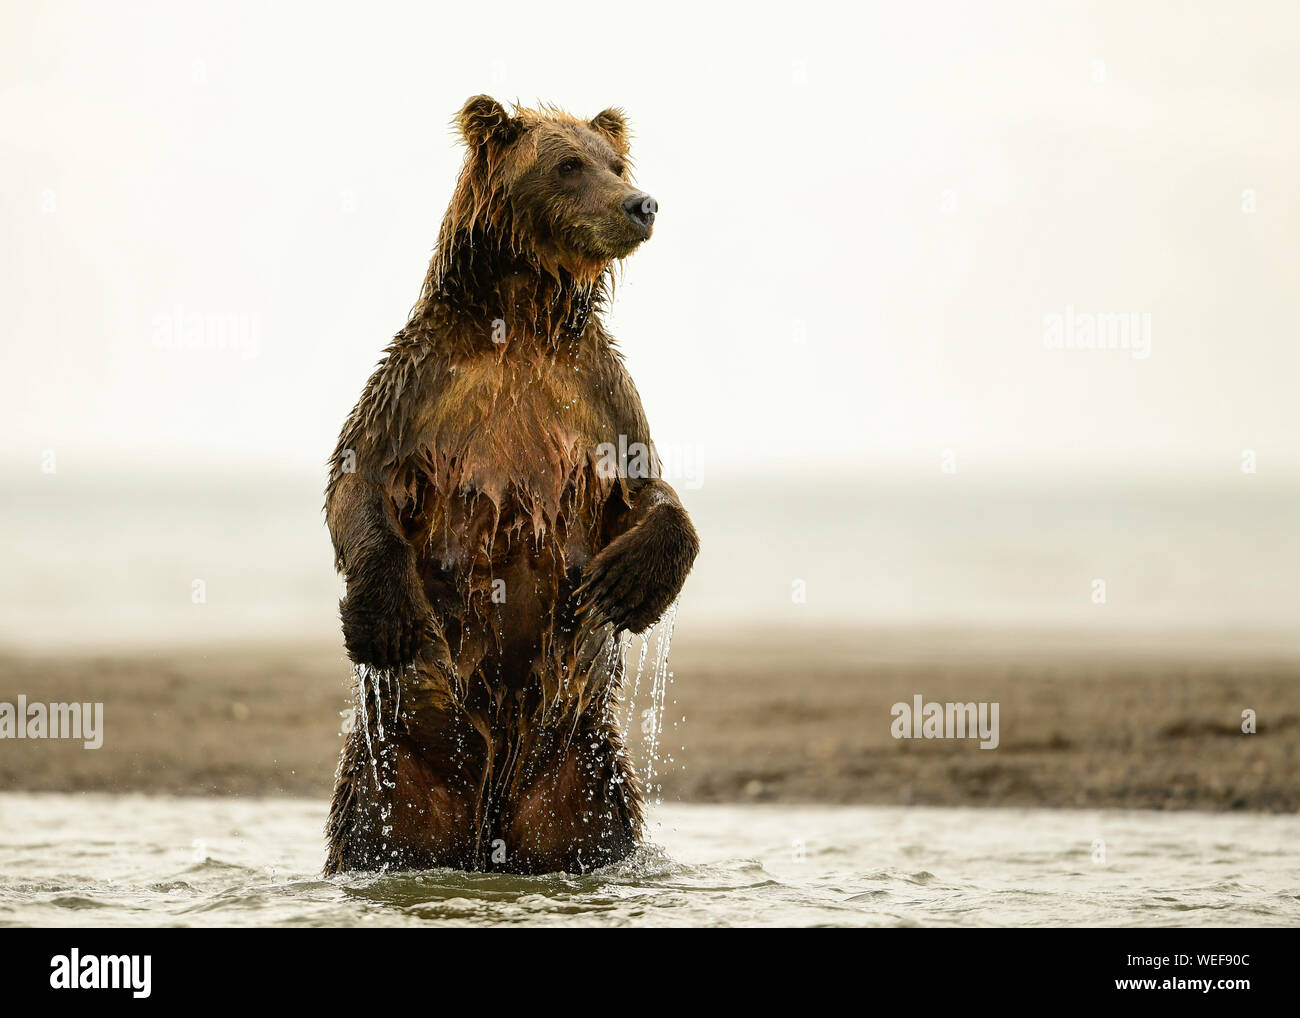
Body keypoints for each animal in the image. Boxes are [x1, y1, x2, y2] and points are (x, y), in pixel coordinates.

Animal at [319, 97, 696, 873]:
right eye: (568, 164)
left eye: (617, 164)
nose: (640, 204)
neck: (522, 321)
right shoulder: (421, 387)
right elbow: (358, 478)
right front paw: (384, 616)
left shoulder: (596, 394)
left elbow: (648, 490)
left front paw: (624, 585)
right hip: (396, 772)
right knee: (373, 831)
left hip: (582, 774)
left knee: (596, 827)